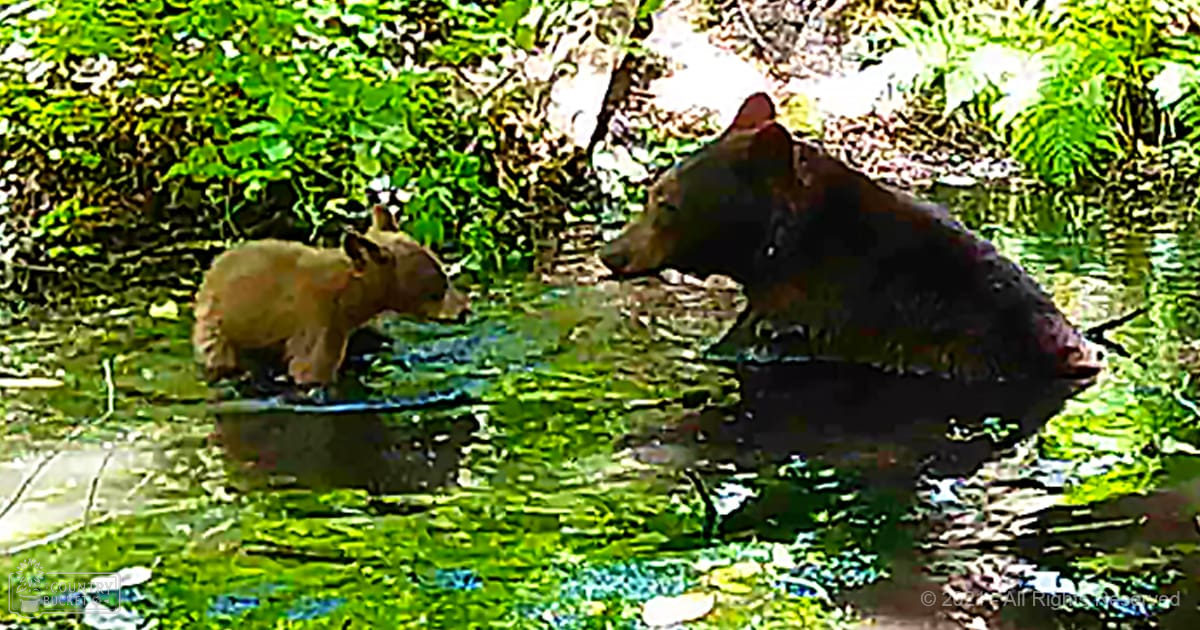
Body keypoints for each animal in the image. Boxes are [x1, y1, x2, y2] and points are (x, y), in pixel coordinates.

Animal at [192, 205, 469, 386]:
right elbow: (309, 370)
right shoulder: (319, 322)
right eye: (438, 286)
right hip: (219, 333)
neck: (350, 293)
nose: (465, 310)